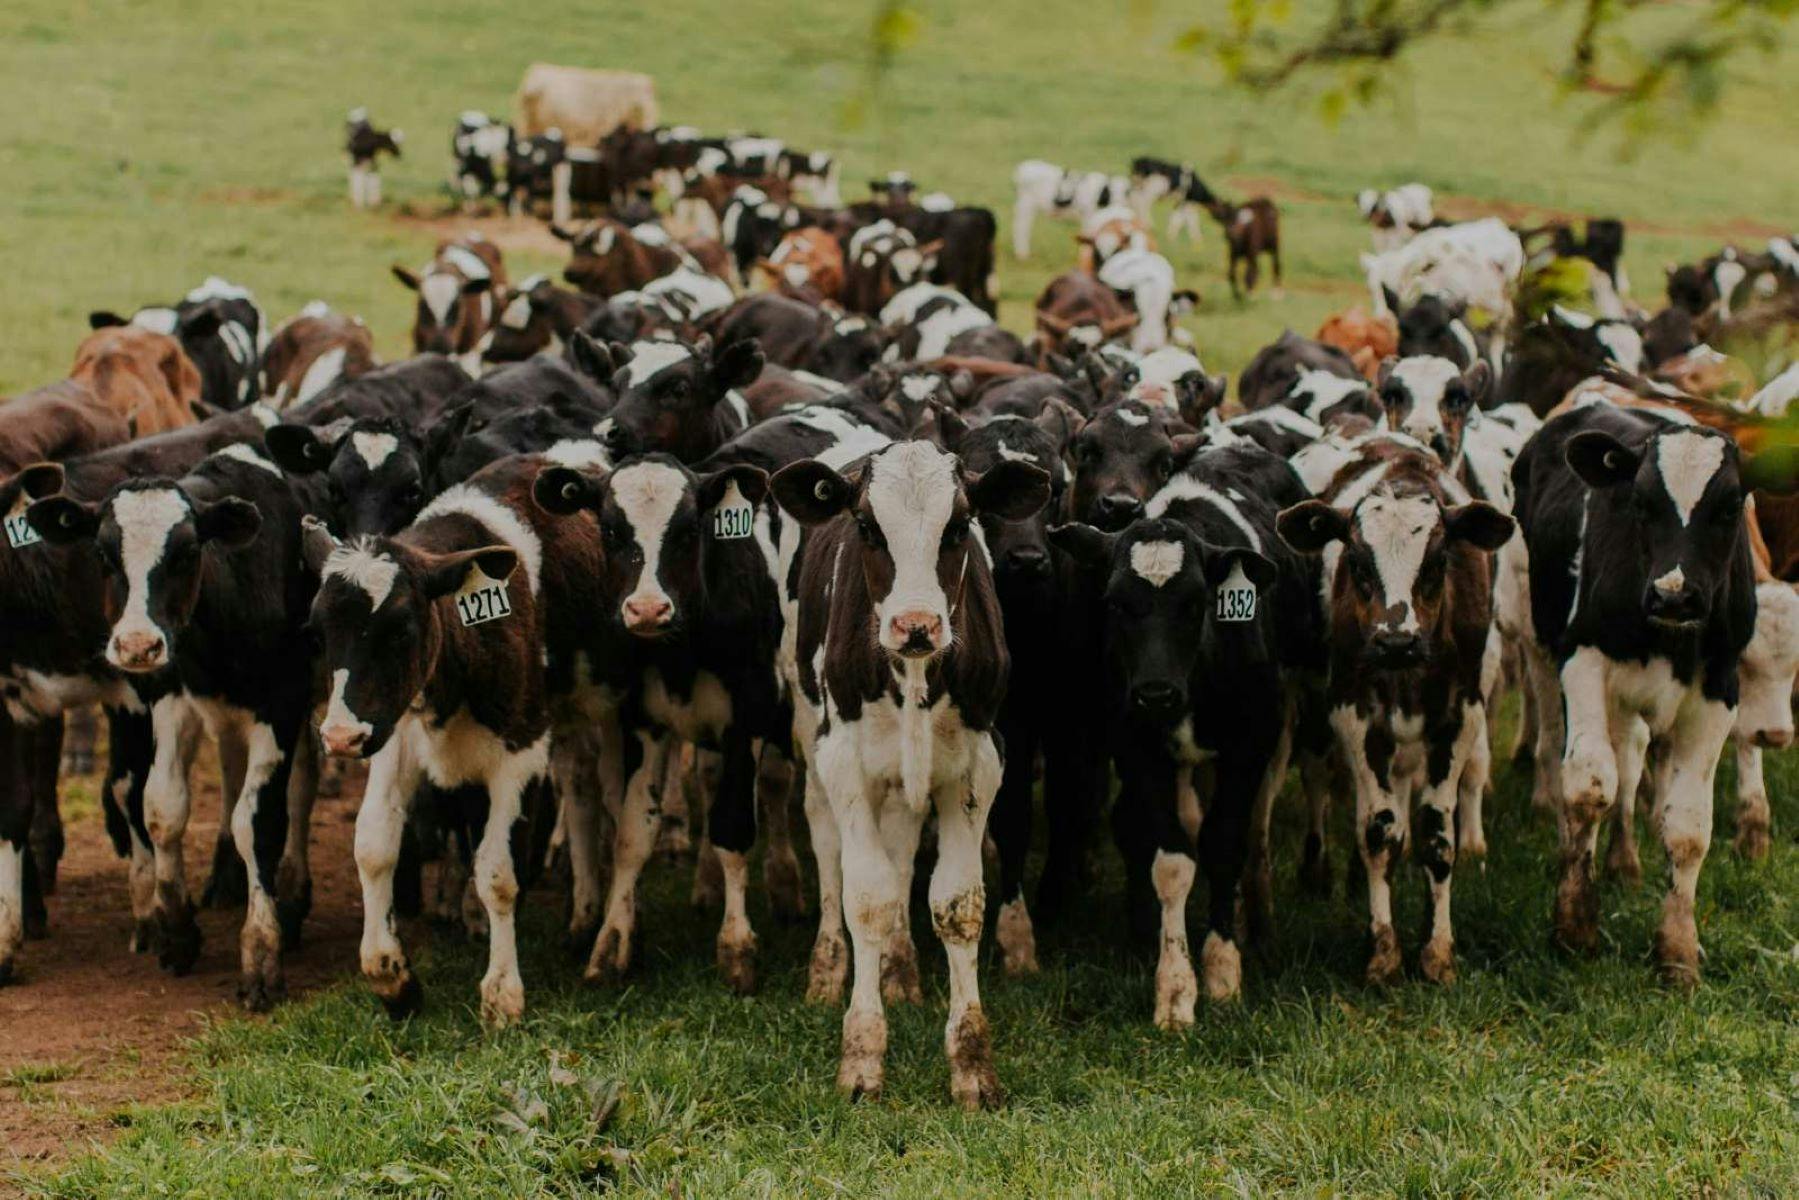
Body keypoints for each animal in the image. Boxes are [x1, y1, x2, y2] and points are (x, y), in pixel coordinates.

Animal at [770, 439, 1050, 1108]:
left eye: (959, 527)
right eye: (867, 527)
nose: (916, 625)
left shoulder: (979, 764)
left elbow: (956, 903)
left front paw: (972, 1065)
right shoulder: (844, 761)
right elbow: (866, 898)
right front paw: (862, 1057)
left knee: (899, 852)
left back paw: (899, 969)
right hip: (810, 729)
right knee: (828, 848)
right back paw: (828, 968)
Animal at [1278, 440, 1514, 985]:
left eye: (1437, 560)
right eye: (1358, 561)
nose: (1396, 642)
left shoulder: (1460, 717)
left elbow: (1437, 833)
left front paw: (1438, 948)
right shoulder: (1355, 713)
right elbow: (1379, 829)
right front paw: (1383, 950)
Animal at [1512, 403, 1756, 985]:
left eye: (1729, 507)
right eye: (1642, 504)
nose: (1674, 595)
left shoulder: (1720, 688)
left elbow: (1687, 824)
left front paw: (1678, 951)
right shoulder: (1583, 657)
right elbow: (1588, 786)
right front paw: (1574, 923)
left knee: (1629, 762)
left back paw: (1623, 864)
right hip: (1542, 646)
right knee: (1567, 754)